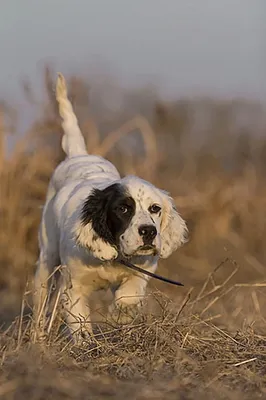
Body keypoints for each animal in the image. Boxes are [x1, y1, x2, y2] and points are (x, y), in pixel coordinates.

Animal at [33, 72, 187, 344]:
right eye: (123, 209)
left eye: (155, 208)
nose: (149, 232)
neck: (114, 256)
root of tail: (79, 155)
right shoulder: (75, 285)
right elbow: (79, 319)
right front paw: (86, 344)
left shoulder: (143, 270)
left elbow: (130, 293)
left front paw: (121, 315)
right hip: (47, 257)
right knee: (42, 297)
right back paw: (37, 336)